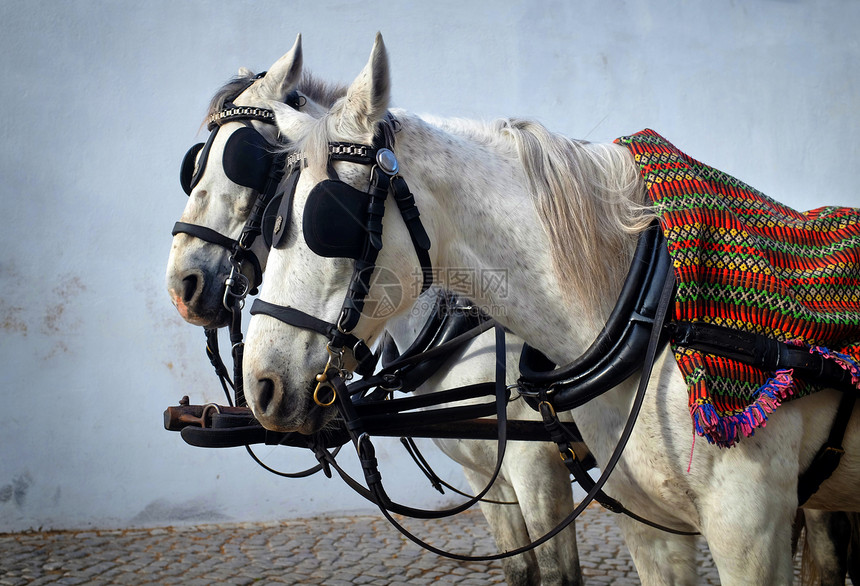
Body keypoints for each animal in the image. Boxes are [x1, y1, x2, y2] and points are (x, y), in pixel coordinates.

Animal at [240, 34, 860, 580]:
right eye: (273, 215)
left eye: (329, 219)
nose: (261, 386)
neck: (648, 310)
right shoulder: (619, 517)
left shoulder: (741, 529)